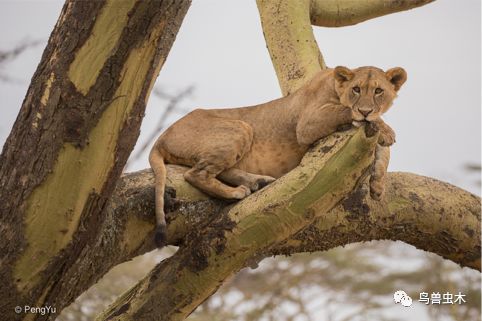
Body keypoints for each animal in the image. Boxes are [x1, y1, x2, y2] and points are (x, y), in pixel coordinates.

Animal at [150, 64, 406, 245]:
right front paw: (384, 129)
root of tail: (161, 137)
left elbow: (382, 150)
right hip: (241, 127)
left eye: (379, 91)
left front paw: (377, 184)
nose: (365, 110)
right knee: (195, 174)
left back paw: (257, 181)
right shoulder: (308, 124)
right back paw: (237, 192)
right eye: (356, 89)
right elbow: (346, 110)